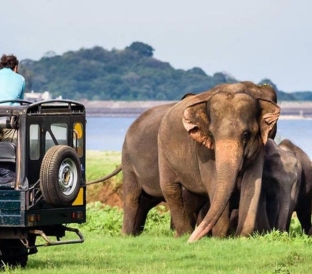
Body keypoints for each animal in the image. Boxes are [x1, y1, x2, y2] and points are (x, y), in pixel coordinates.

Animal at [157, 81, 280, 242]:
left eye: (246, 135)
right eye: (211, 134)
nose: (191, 242)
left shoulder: (259, 147)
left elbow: (252, 183)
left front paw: (241, 237)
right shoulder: (203, 150)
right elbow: (213, 182)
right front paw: (219, 238)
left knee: (191, 196)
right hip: (163, 151)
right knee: (170, 188)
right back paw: (184, 235)